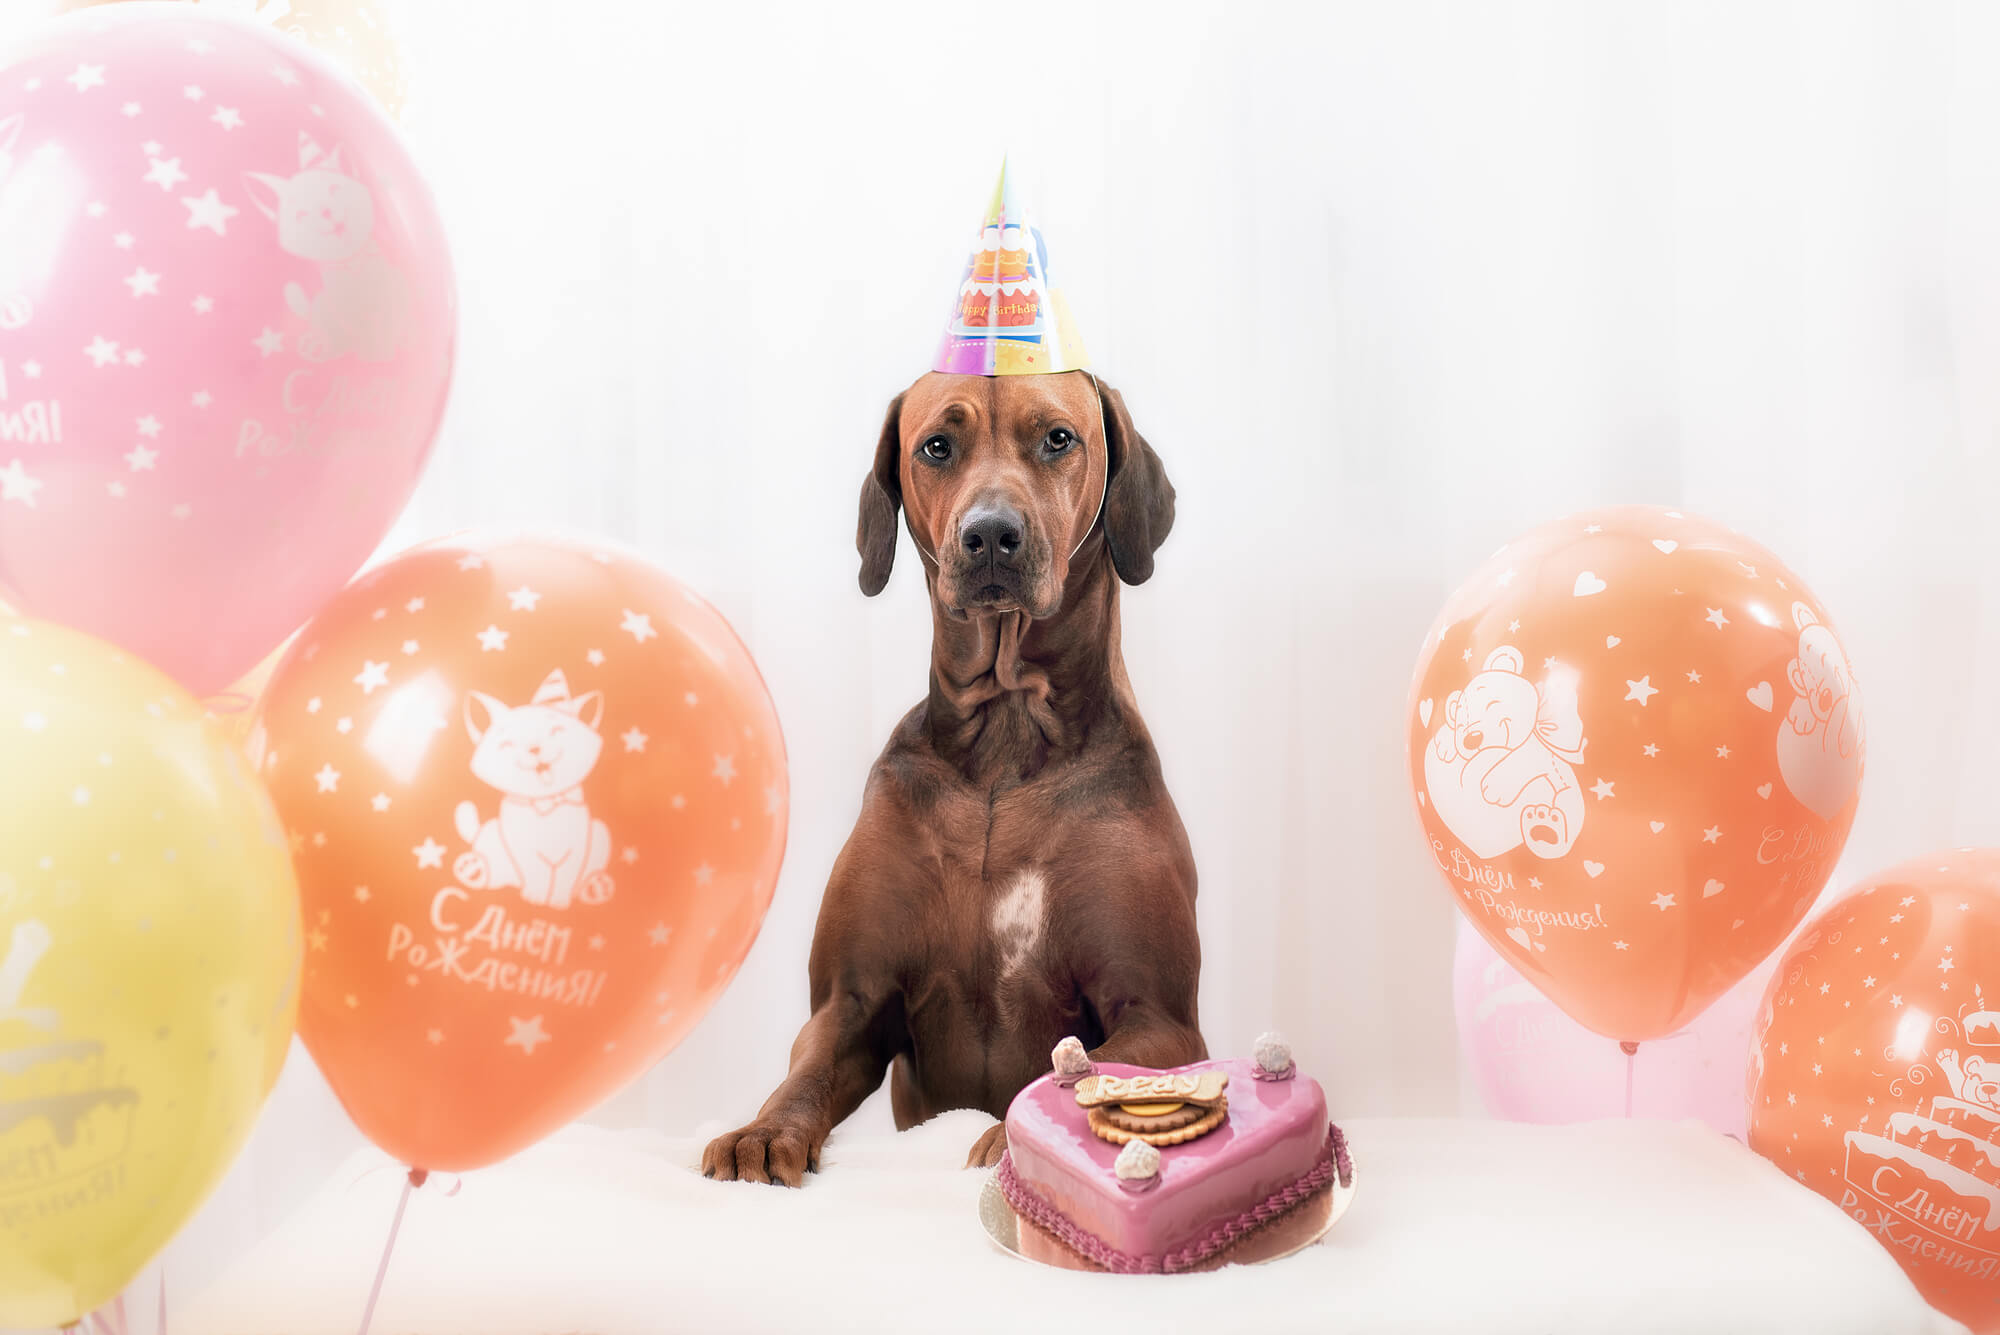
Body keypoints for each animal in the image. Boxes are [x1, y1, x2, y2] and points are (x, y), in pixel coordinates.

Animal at [704, 369, 1200, 1183]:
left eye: (1058, 438)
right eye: (937, 445)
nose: (991, 533)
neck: (1006, 730)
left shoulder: (1160, 1016)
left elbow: (1090, 1065)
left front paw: (1015, 1136)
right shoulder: (851, 999)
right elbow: (807, 1069)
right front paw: (765, 1129)